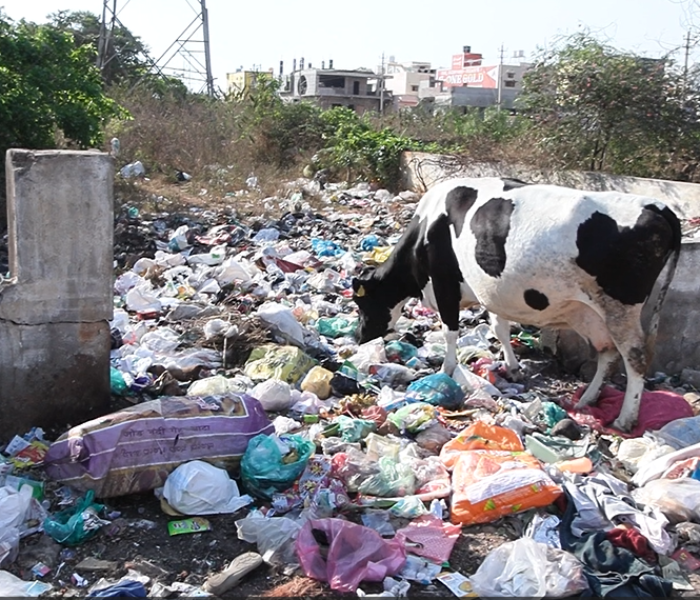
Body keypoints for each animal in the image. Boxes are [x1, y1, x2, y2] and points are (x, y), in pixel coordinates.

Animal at [352, 177, 680, 432]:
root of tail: (656, 205)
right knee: (607, 351)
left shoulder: (445, 284)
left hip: (620, 306)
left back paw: (625, 419)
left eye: (361, 303)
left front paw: (446, 369)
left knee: (635, 357)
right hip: (590, 312)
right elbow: (500, 328)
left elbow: (450, 331)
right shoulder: (491, 291)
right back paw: (587, 398)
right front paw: (512, 367)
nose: (360, 337)